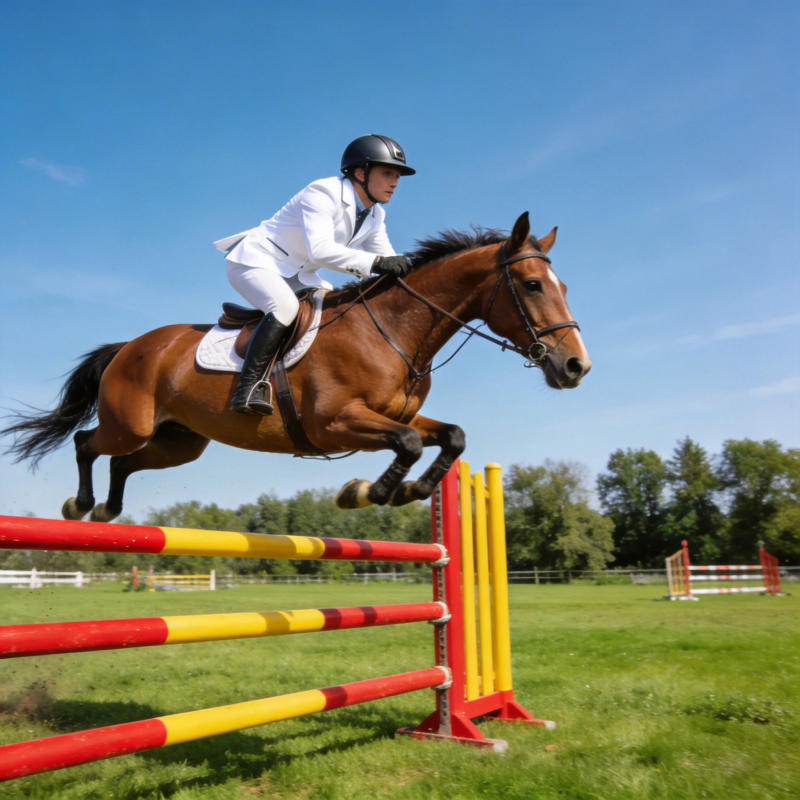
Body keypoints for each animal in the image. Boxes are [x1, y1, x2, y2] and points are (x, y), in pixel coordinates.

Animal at [2, 212, 590, 521]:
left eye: (562, 285)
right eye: (532, 285)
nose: (575, 366)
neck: (394, 332)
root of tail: (130, 346)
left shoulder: (394, 415)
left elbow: (452, 436)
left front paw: (409, 492)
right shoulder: (335, 422)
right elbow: (408, 444)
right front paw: (366, 493)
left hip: (179, 442)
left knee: (124, 463)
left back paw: (107, 510)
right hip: (131, 422)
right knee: (88, 443)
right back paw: (81, 505)